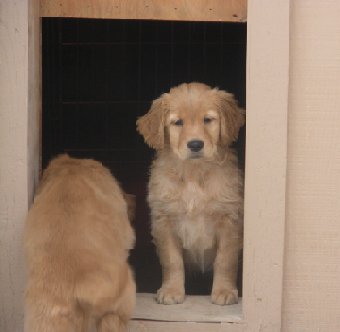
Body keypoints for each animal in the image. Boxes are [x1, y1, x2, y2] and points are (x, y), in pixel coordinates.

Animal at [137, 83, 246, 306]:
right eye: (178, 122)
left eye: (208, 120)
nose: (195, 144)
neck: (194, 174)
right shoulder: (164, 221)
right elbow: (172, 261)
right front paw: (171, 290)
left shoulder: (229, 220)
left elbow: (225, 260)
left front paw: (224, 291)